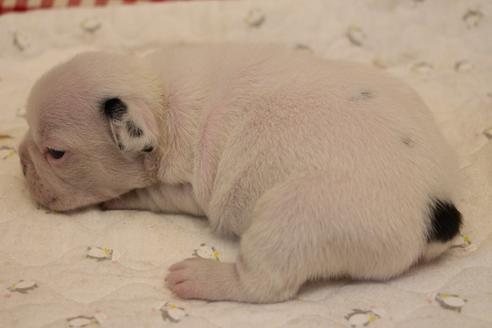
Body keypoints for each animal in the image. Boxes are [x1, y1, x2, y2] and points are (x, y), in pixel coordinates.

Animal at [19, 43, 464, 302]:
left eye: (55, 153)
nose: (21, 162)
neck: (158, 94)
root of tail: (437, 211)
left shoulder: (185, 188)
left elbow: (150, 193)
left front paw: (119, 199)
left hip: (295, 215)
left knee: (266, 284)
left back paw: (200, 278)